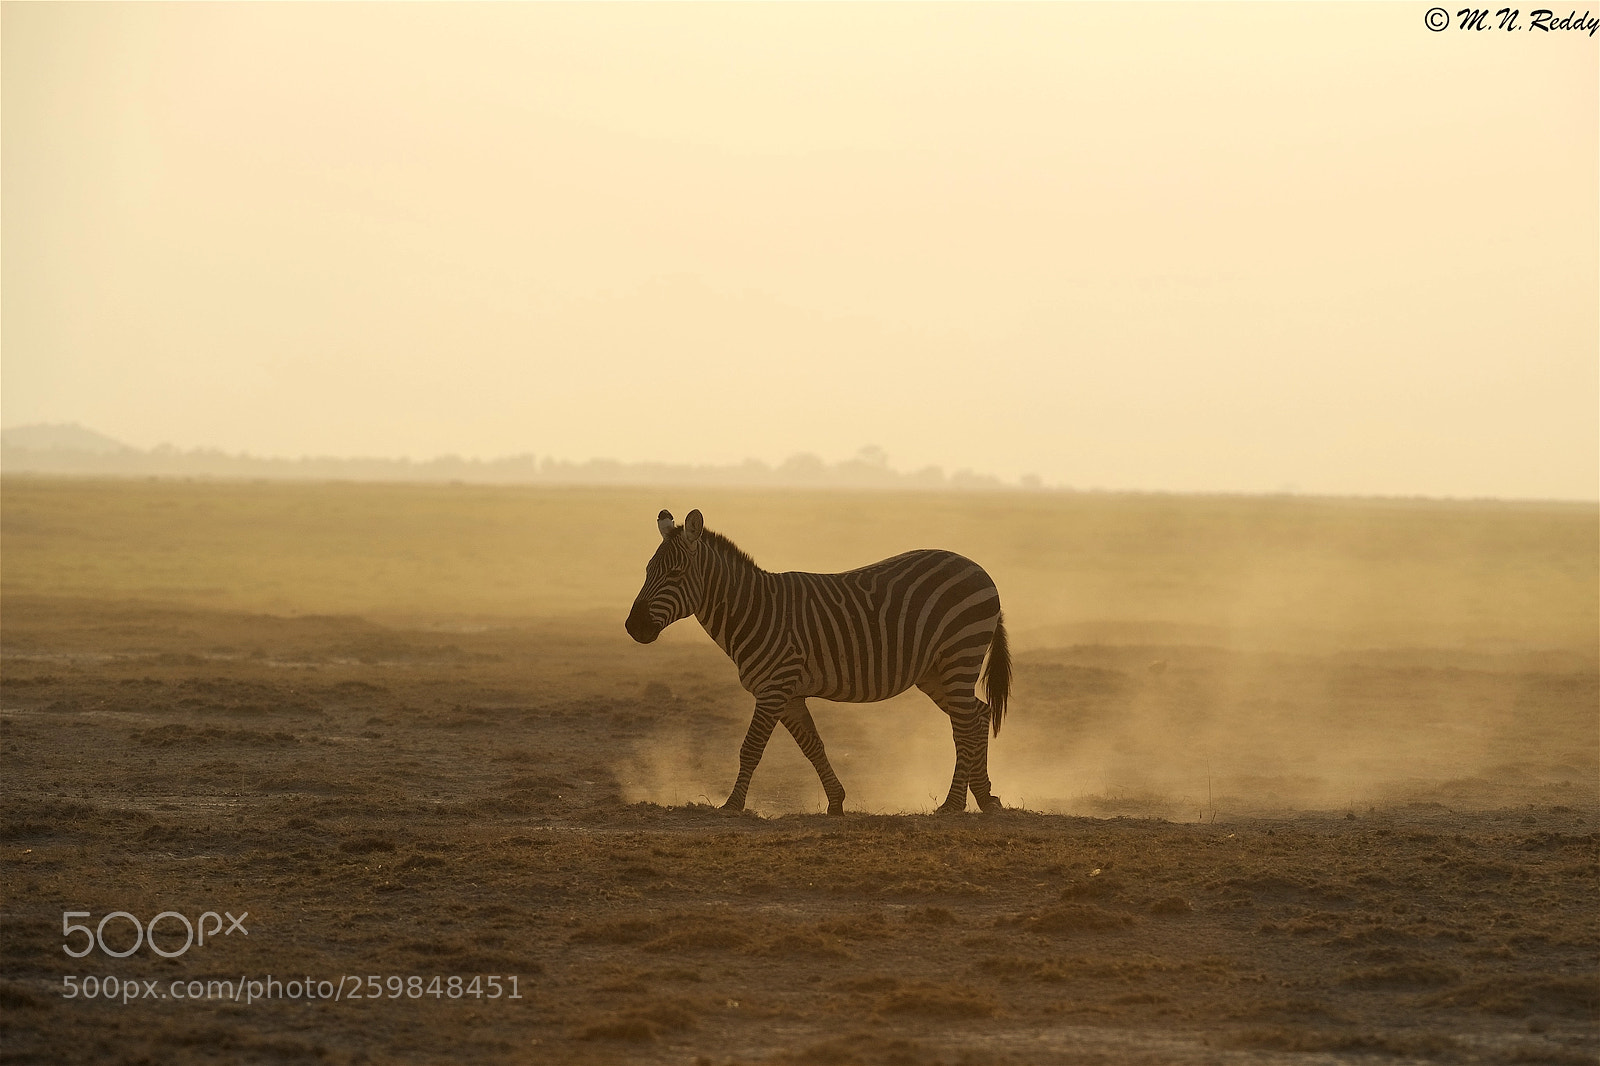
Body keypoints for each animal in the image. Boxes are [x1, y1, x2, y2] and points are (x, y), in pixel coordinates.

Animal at [625, 508, 1011, 815]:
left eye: (674, 574)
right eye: (646, 571)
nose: (633, 627)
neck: (753, 610)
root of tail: (980, 569)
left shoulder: (774, 689)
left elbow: (750, 749)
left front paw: (732, 805)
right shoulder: (789, 694)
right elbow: (812, 746)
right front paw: (836, 801)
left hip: (959, 655)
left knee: (965, 725)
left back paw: (953, 804)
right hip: (934, 671)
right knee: (978, 716)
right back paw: (984, 797)